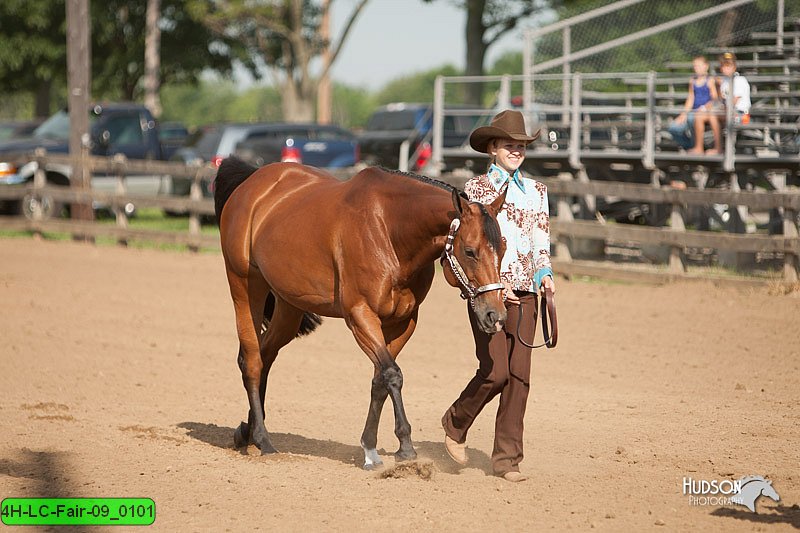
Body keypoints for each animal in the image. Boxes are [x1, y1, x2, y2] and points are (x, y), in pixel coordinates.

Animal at [212, 158, 510, 466]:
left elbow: (380, 379)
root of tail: (253, 182)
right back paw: (263, 439)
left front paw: (370, 447)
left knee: (266, 355)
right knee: (251, 360)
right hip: (245, 287)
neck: (389, 229)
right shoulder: (360, 316)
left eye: (503, 248)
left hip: (288, 306)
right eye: (470, 251)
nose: (495, 316)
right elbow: (392, 374)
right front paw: (406, 447)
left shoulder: (403, 322)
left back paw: (247, 431)